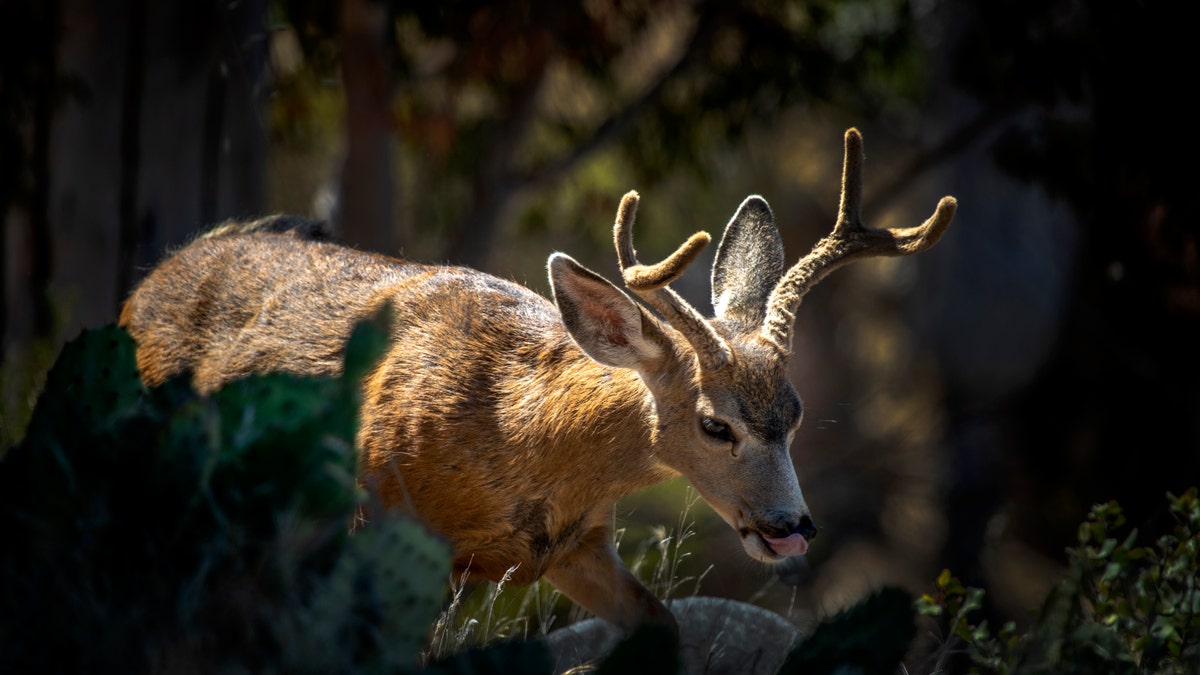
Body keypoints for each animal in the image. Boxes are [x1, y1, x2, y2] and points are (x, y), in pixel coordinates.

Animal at [119, 128, 955, 629]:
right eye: (715, 422)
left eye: (796, 411)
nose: (791, 526)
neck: (515, 430)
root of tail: (142, 285)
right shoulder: (382, 524)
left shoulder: (578, 546)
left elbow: (661, 624)